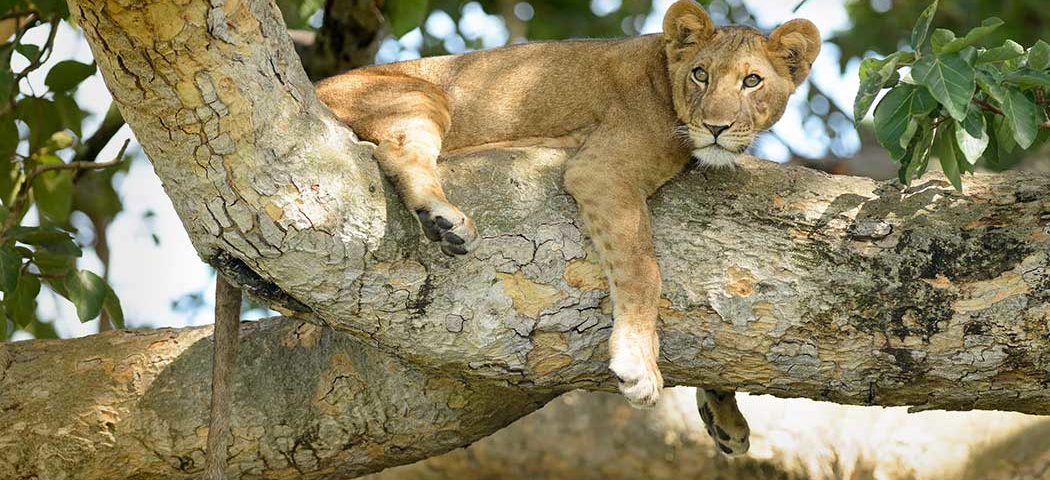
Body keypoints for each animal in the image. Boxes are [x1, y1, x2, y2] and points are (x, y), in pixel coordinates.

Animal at [315, 0, 820, 456]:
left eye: (752, 81)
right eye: (701, 74)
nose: (717, 126)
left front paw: (724, 415)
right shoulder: (601, 170)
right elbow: (643, 269)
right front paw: (638, 363)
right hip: (422, 93)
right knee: (396, 151)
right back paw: (446, 219)